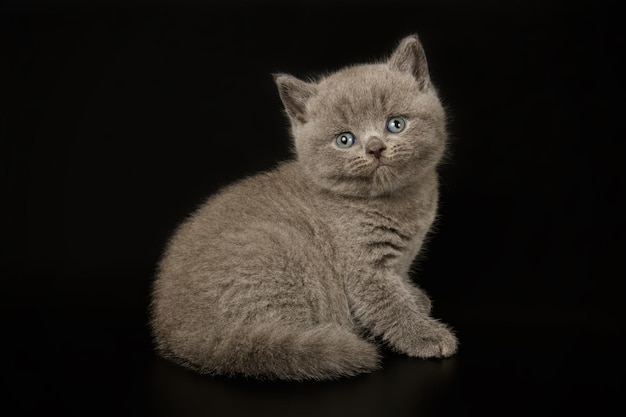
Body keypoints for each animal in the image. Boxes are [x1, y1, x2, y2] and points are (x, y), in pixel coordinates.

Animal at [149, 35, 456, 380]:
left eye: (396, 124)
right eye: (345, 140)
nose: (375, 148)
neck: (397, 202)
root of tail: (179, 333)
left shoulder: (400, 258)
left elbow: (399, 285)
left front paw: (415, 298)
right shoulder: (363, 268)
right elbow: (388, 304)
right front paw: (426, 335)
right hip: (281, 248)